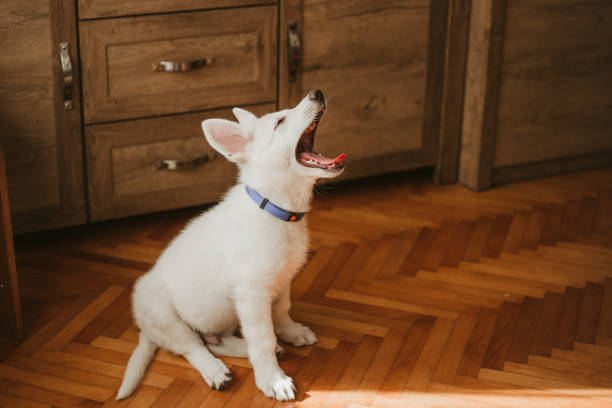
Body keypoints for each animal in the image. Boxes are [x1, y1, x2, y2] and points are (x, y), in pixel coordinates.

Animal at [115, 91, 344, 400]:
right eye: (280, 122)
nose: (316, 93)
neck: (276, 210)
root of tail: (144, 330)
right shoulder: (252, 295)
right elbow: (262, 338)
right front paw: (273, 380)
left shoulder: (282, 281)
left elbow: (282, 311)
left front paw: (292, 332)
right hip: (163, 314)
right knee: (192, 346)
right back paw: (214, 370)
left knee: (215, 341)